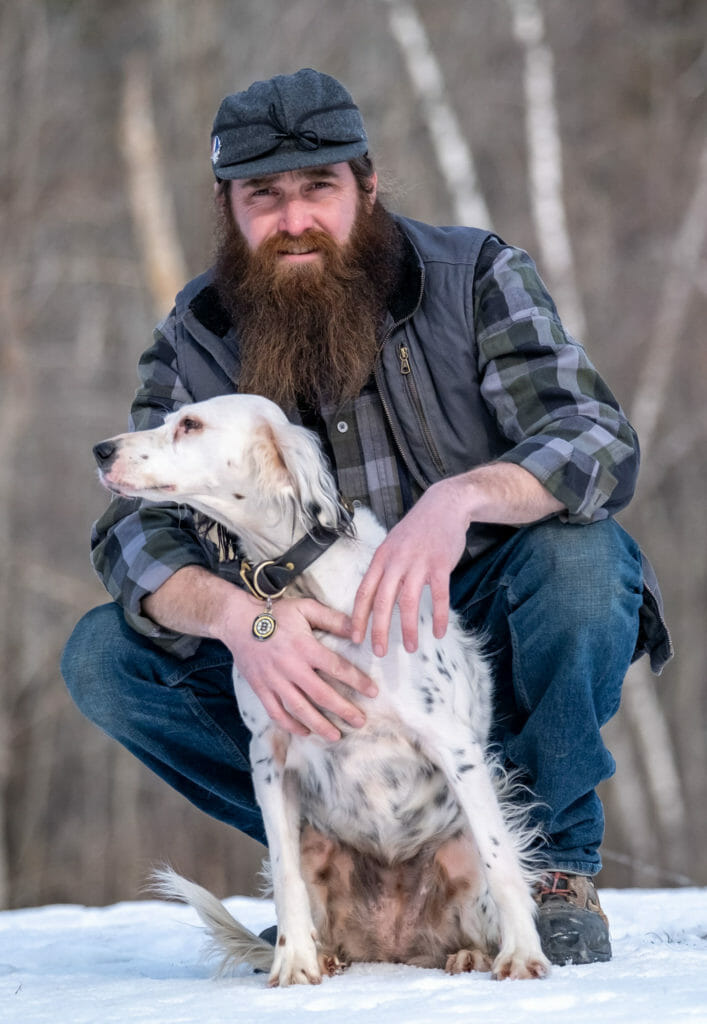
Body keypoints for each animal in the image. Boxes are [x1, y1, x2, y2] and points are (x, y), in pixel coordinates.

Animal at [93, 391, 549, 983]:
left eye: (190, 424)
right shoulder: (269, 756)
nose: (102, 450)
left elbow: (502, 861)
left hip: (459, 845)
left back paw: (474, 953)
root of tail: (392, 948)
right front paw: (294, 964)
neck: (301, 584)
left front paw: (523, 955)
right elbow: (285, 876)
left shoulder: (455, 746)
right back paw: (325, 955)